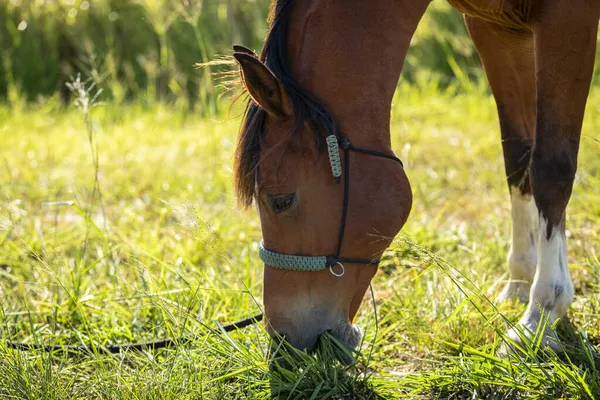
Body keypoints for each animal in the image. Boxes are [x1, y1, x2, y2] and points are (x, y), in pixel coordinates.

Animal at [230, 0, 600, 356]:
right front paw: (521, 281)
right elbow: (519, 157)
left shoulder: (567, 19)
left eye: (282, 200)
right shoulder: (494, 30)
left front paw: (540, 316)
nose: (282, 342)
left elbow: (550, 168)